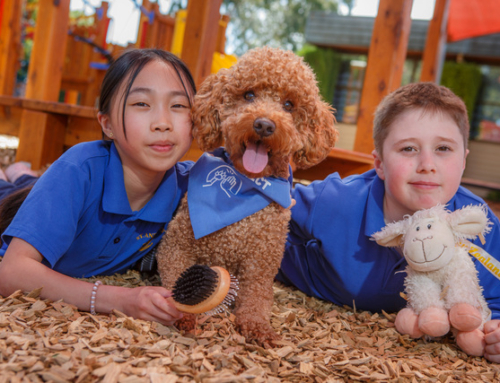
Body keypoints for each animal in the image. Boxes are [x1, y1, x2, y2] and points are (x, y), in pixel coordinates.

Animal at [157, 46, 336, 346]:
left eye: (289, 104)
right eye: (249, 95)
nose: (264, 125)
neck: (245, 185)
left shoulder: (262, 262)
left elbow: (256, 297)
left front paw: (256, 326)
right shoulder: (176, 244)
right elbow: (175, 278)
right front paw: (183, 314)